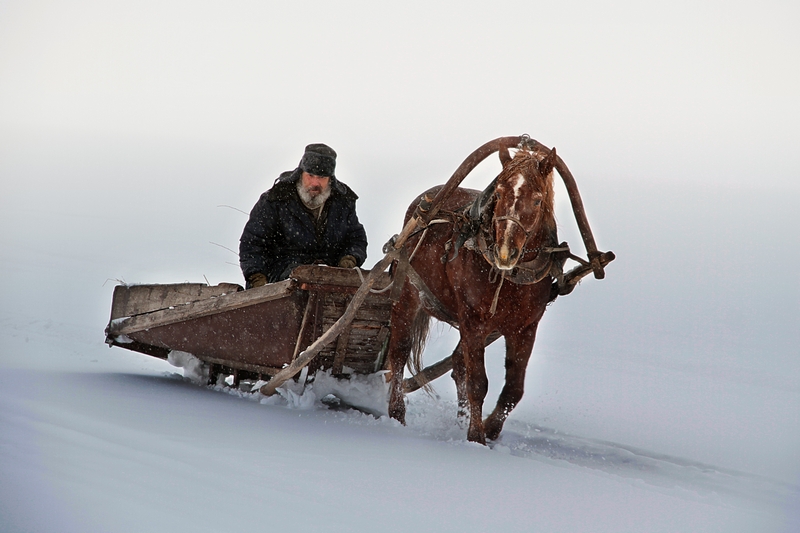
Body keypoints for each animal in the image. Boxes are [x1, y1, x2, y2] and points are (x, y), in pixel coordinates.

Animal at [386, 145, 564, 444]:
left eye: (538, 201)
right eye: (499, 193)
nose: (505, 252)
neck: (509, 278)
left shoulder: (525, 328)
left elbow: (513, 390)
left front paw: (490, 429)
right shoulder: (473, 322)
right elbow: (478, 382)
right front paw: (476, 437)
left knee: (458, 365)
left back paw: (461, 419)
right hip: (408, 294)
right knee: (399, 351)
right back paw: (396, 413)